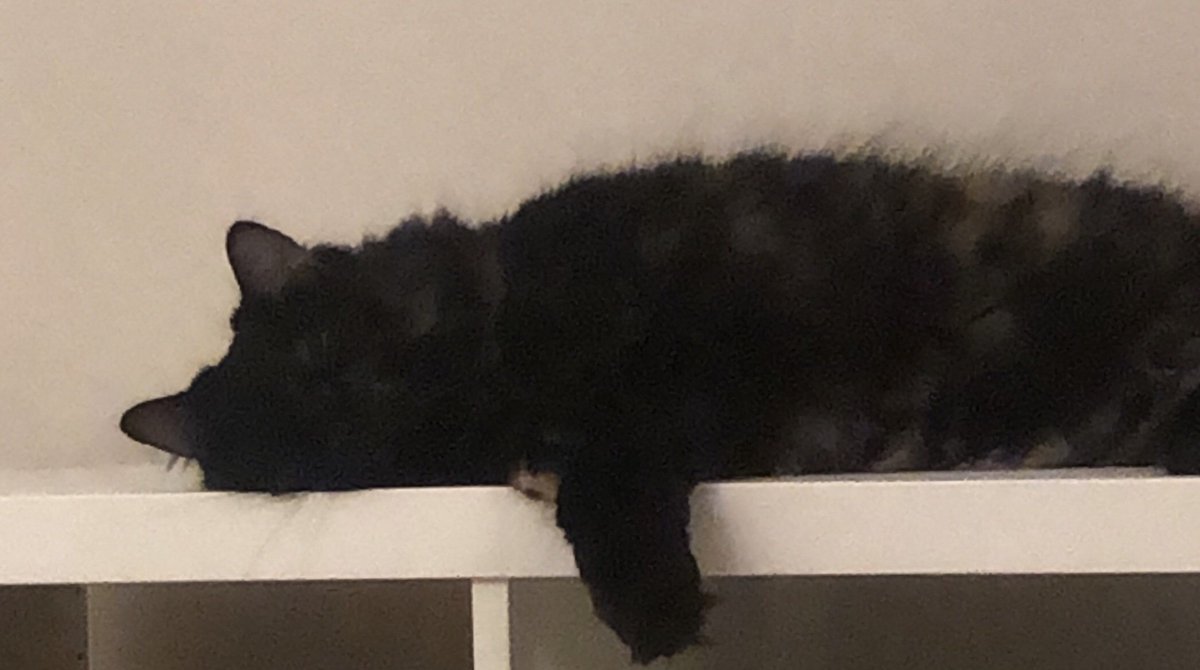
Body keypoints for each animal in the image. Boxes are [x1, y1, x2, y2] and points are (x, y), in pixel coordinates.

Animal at [121, 150, 1200, 663]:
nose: (355, 404)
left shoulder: (681, 371)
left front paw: (654, 607)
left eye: (324, 353)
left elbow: (613, 476)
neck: (503, 368)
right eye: (293, 442)